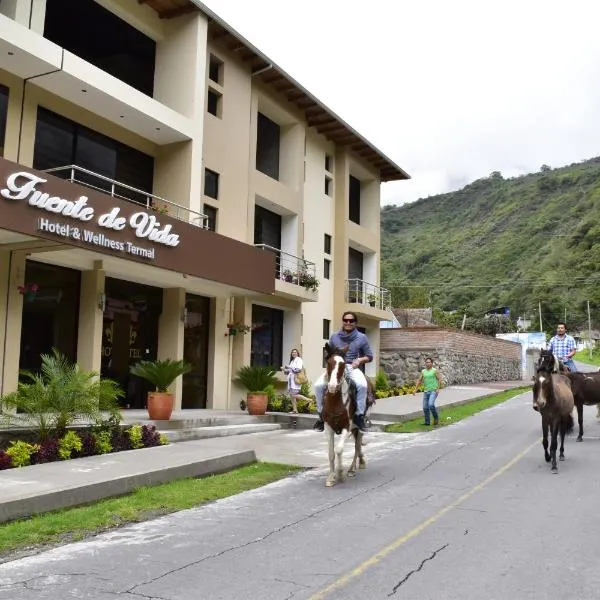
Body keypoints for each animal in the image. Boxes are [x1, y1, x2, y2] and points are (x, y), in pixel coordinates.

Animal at [324, 344, 366, 486]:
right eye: (328, 362)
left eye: (342, 364)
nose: (332, 386)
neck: (336, 402)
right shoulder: (328, 427)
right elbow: (331, 453)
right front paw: (331, 477)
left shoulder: (346, 427)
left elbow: (339, 449)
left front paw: (340, 473)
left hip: (358, 427)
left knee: (357, 446)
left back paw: (353, 468)